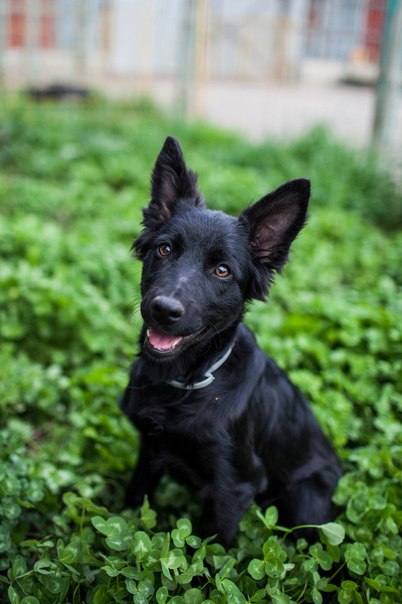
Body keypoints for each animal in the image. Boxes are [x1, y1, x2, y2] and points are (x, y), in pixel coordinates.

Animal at [120, 136, 342, 547]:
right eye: (165, 249)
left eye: (222, 270)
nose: (164, 309)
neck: (187, 383)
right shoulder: (149, 452)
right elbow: (132, 502)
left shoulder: (234, 486)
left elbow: (211, 548)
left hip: (307, 501)